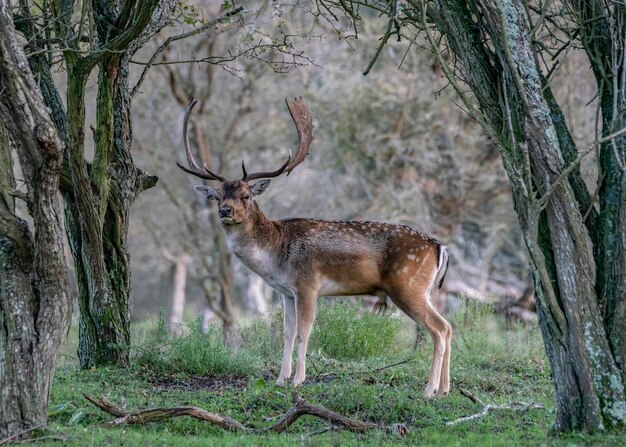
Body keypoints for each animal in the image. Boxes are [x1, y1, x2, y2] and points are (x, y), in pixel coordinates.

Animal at [176, 98, 448, 400]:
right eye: (219, 196)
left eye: (245, 196)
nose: (225, 210)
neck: (275, 253)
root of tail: (439, 247)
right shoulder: (286, 292)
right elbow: (287, 332)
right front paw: (280, 379)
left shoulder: (307, 285)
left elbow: (304, 331)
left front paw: (298, 380)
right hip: (422, 289)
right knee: (448, 326)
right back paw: (445, 388)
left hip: (406, 286)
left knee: (438, 329)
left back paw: (429, 390)